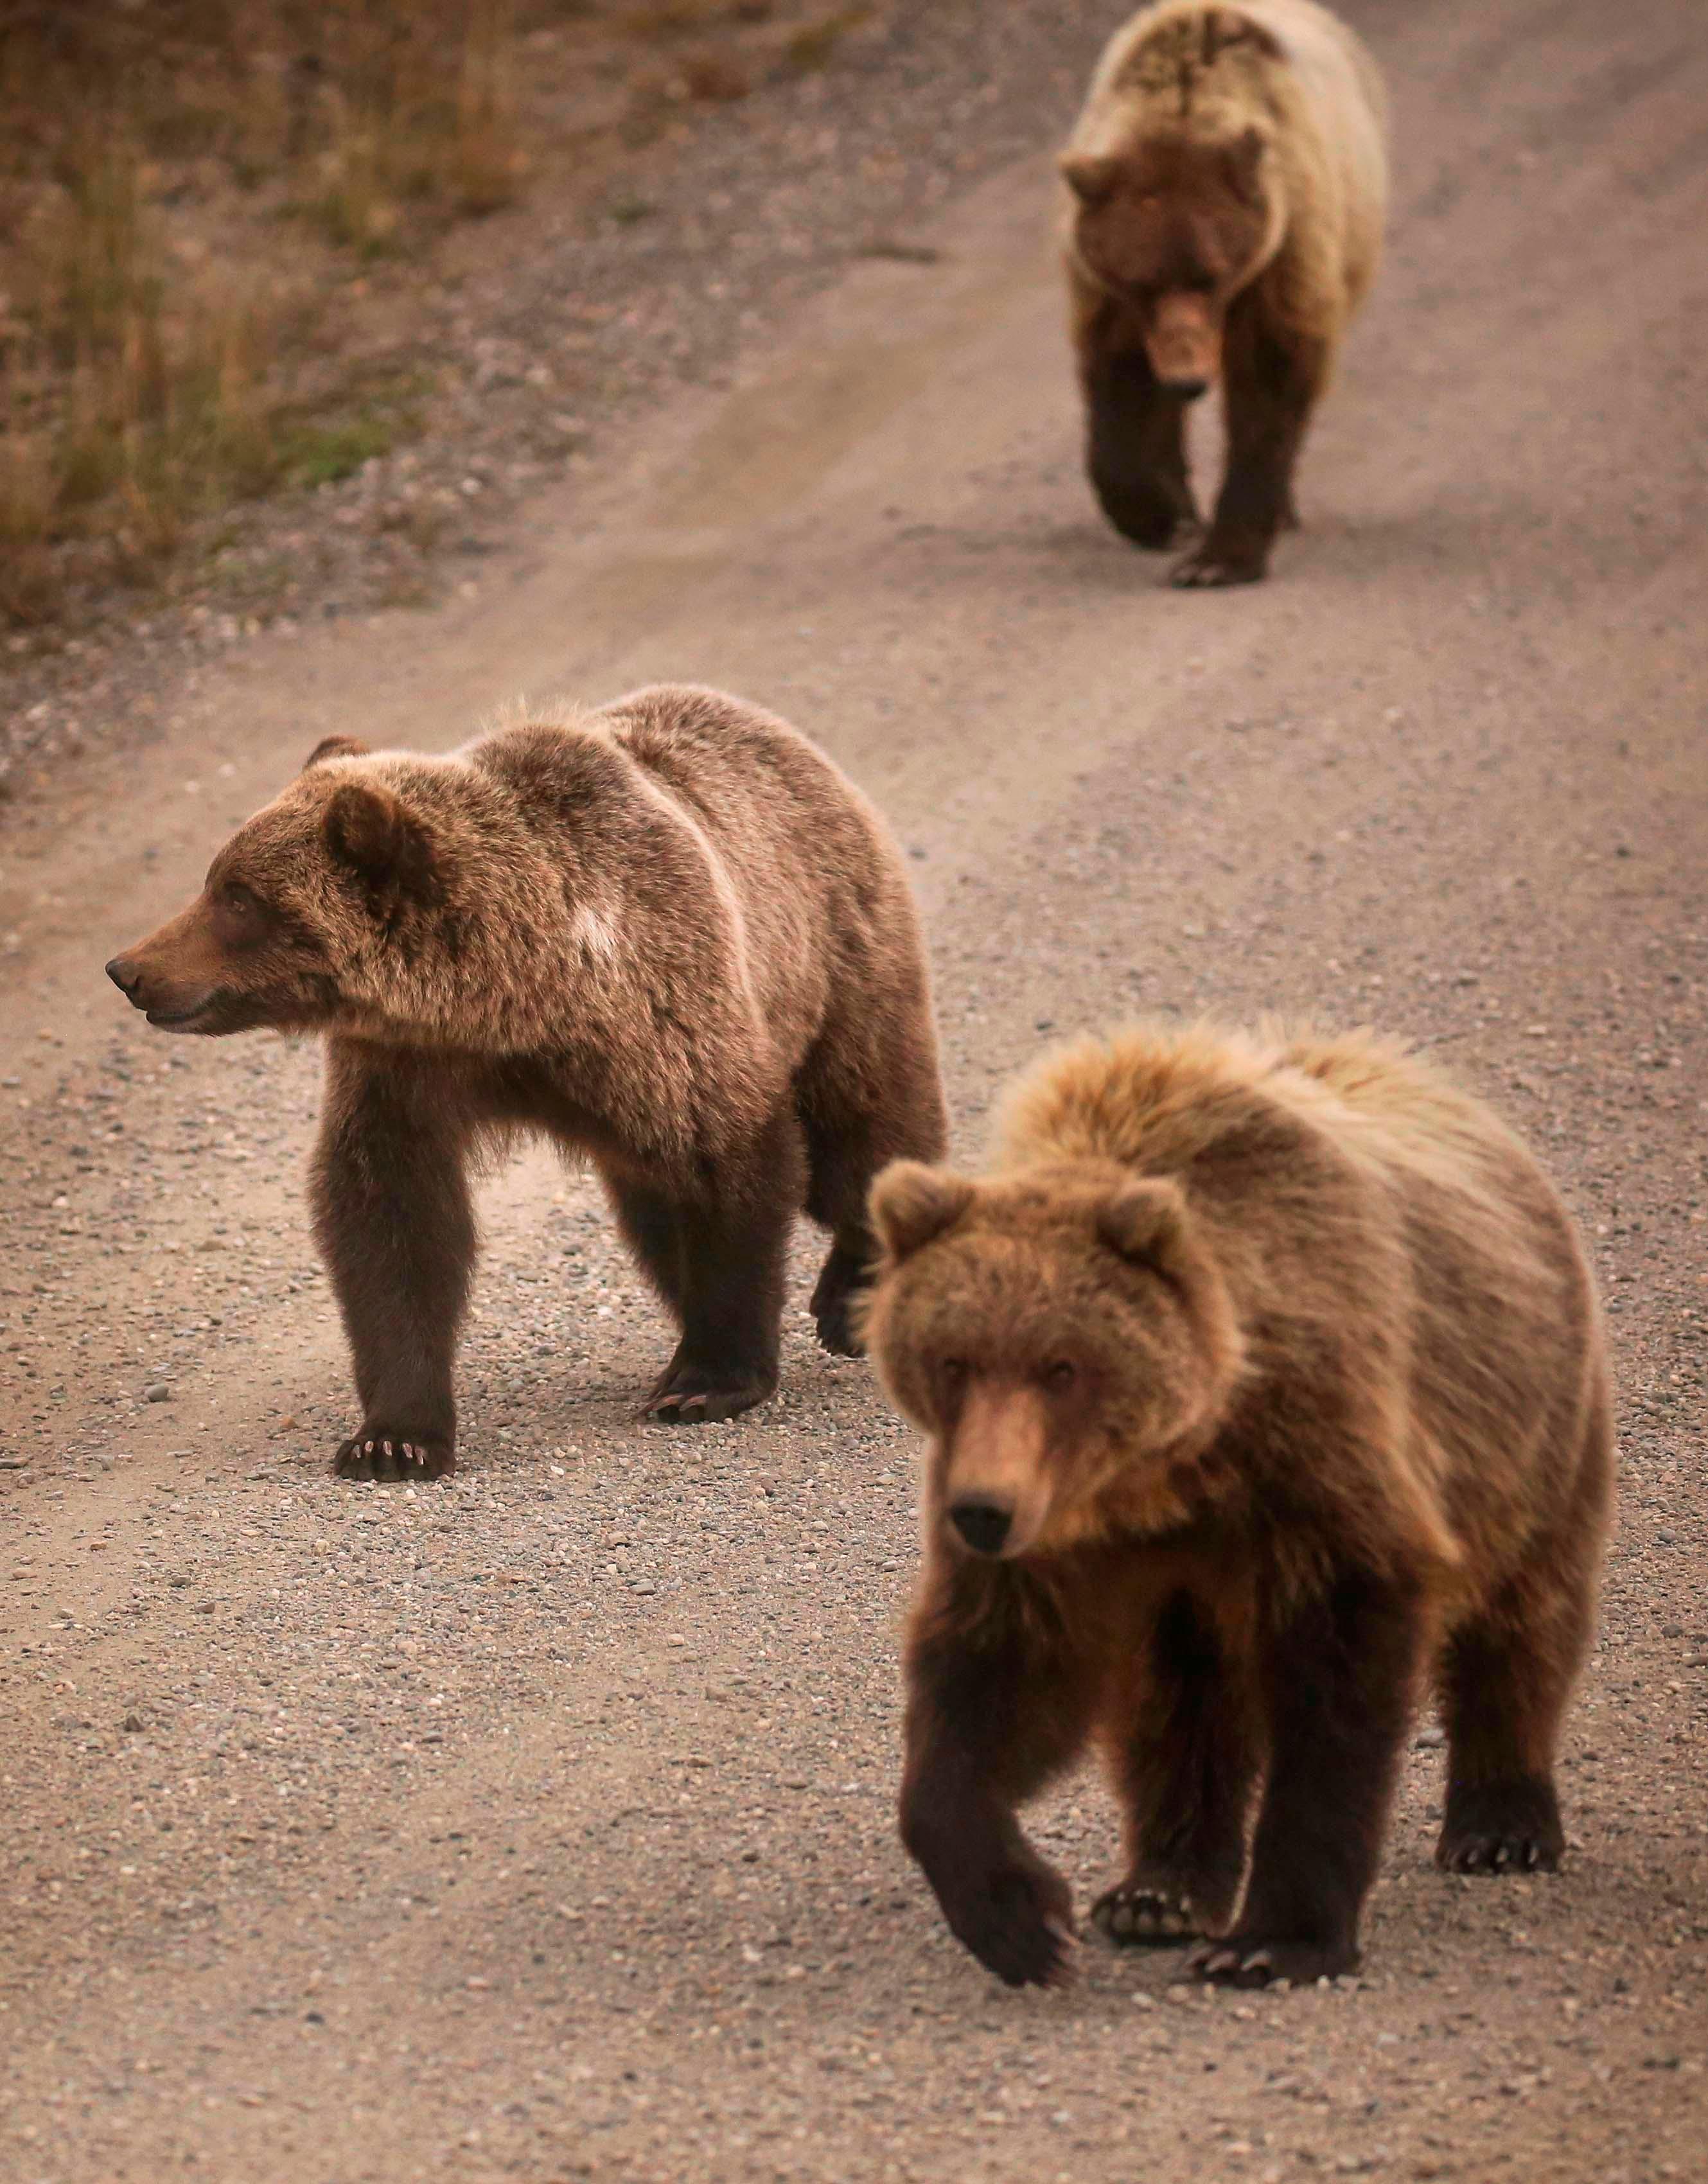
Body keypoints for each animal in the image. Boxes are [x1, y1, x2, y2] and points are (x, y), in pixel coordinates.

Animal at [110, 681, 947, 1485]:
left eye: (238, 897)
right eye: (216, 880)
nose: (129, 968)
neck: (514, 999)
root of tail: (784, 735)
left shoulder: (666, 1006)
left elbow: (729, 1160)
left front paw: (707, 1379)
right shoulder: (404, 1068)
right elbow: (391, 1218)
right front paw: (394, 1439)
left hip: (834, 955)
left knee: (861, 1125)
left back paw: (850, 1293)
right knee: (656, 1204)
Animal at [869, 1022, 1616, 2000]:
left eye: (1062, 1365)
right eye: (953, 1360)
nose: (982, 1513)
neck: (1173, 1468)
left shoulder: (1317, 1471)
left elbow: (1337, 1693)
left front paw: (1273, 1941)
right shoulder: (1063, 1530)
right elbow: (993, 1677)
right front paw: (1022, 1920)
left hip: (1530, 1429)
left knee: (1523, 1617)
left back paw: (1501, 1822)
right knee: (1176, 1698)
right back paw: (1158, 1888)